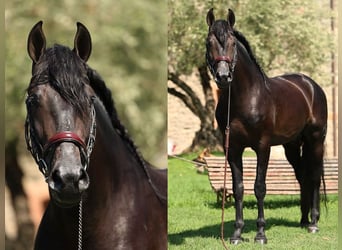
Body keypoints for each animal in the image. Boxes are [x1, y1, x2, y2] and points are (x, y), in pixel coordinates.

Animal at [204, 8, 328, 244]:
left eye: (232, 42)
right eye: (208, 43)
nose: (223, 77)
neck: (246, 98)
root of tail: (311, 85)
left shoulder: (263, 147)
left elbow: (259, 187)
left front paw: (260, 233)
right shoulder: (232, 149)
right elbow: (239, 188)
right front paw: (236, 234)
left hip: (316, 140)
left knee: (314, 176)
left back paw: (314, 223)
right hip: (291, 146)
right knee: (303, 176)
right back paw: (304, 220)